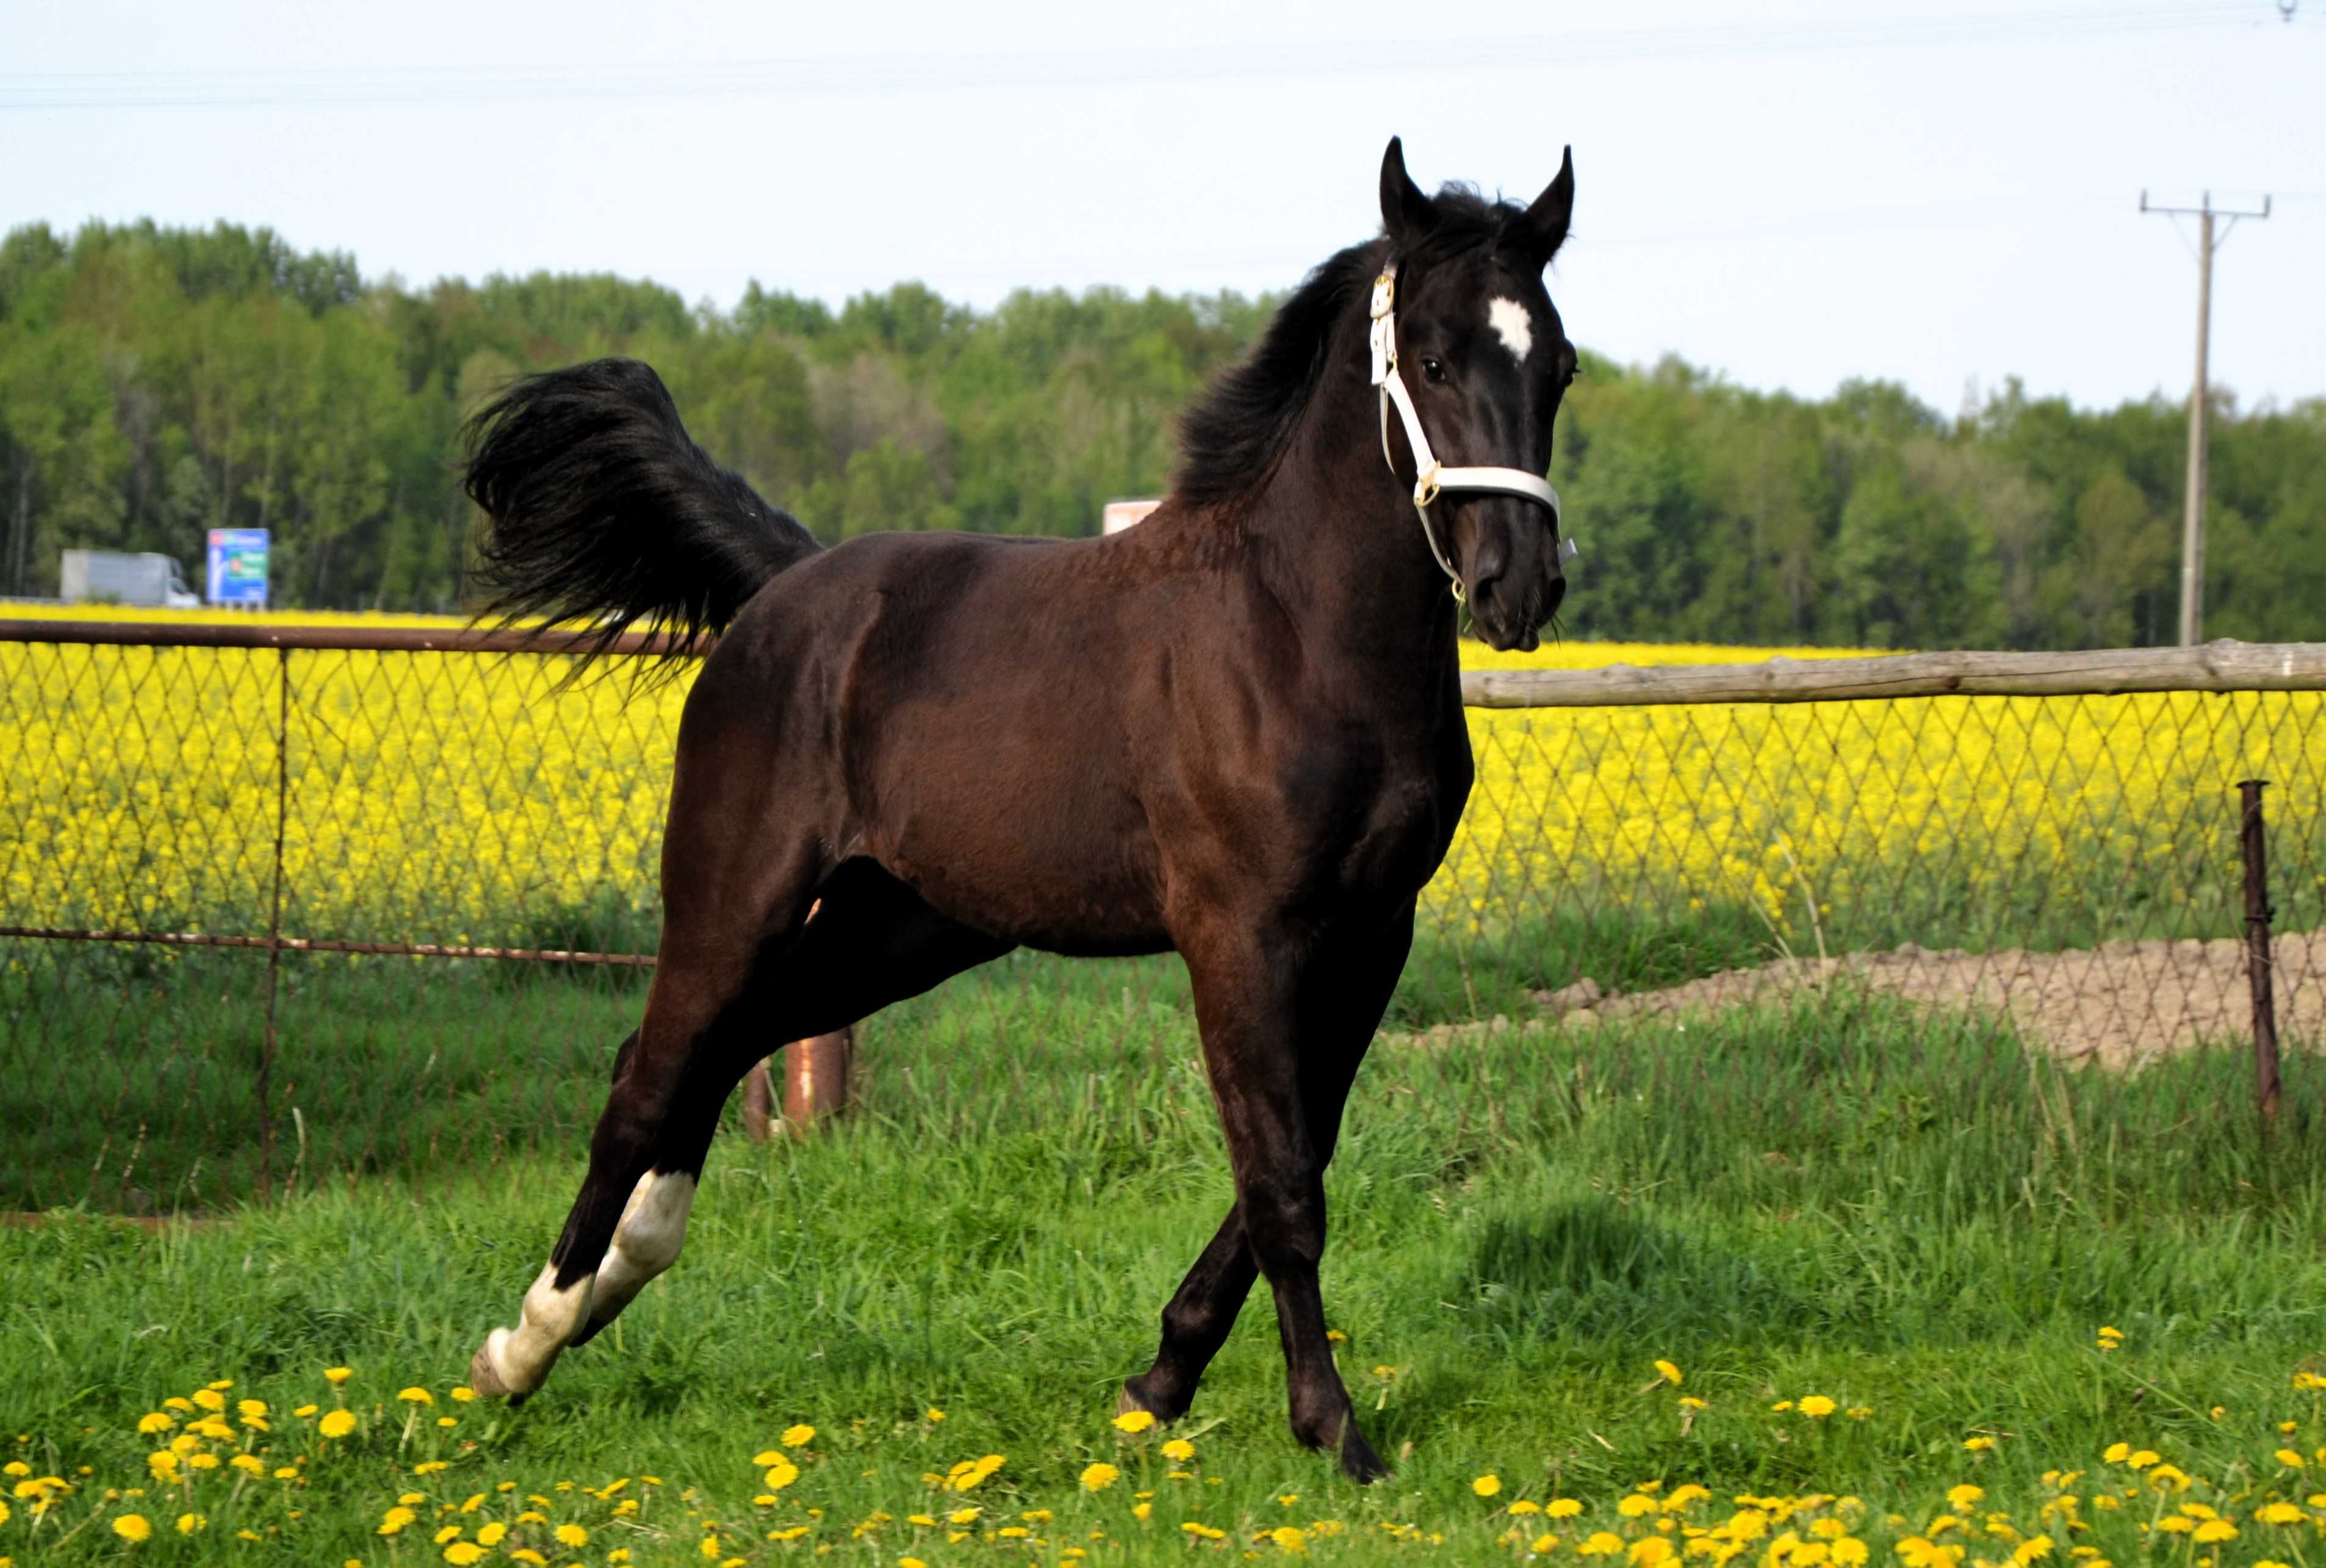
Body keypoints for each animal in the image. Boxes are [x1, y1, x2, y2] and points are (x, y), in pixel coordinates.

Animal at [460, 137, 1572, 1480]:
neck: (1293, 637)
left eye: (1559, 365)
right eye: (1434, 357)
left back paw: (617, 1279)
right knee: (651, 1071)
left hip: (904, 927)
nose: (1519, 585)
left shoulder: (1372, 934)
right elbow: (1280, 1183)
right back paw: (525, 1343)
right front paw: (1334, 1430)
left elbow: (1300, 1151)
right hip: (735, 892)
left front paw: (1158, 1381)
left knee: (711, 1050)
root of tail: (788, 586)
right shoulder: (1241, 935)